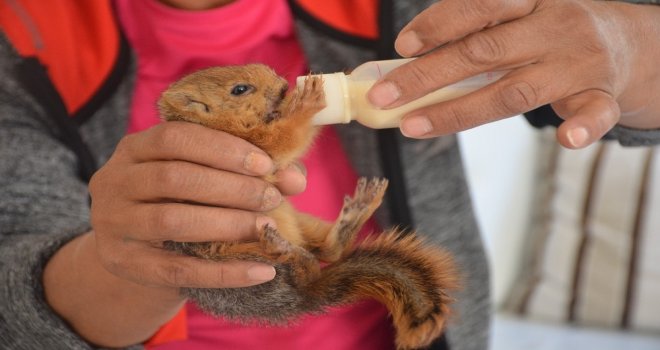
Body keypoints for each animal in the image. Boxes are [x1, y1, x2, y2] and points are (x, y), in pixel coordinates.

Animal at [159, 64, 458, 348]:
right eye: (240, 89)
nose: (283, 86)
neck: (218, 126)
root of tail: (300, 298)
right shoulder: (256, 147)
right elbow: (283, 140)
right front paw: (306, 102)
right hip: (246, 261)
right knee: (305, 268)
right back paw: (284, 249)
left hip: (303, 223)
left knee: (327, 252)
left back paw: (354, 214)